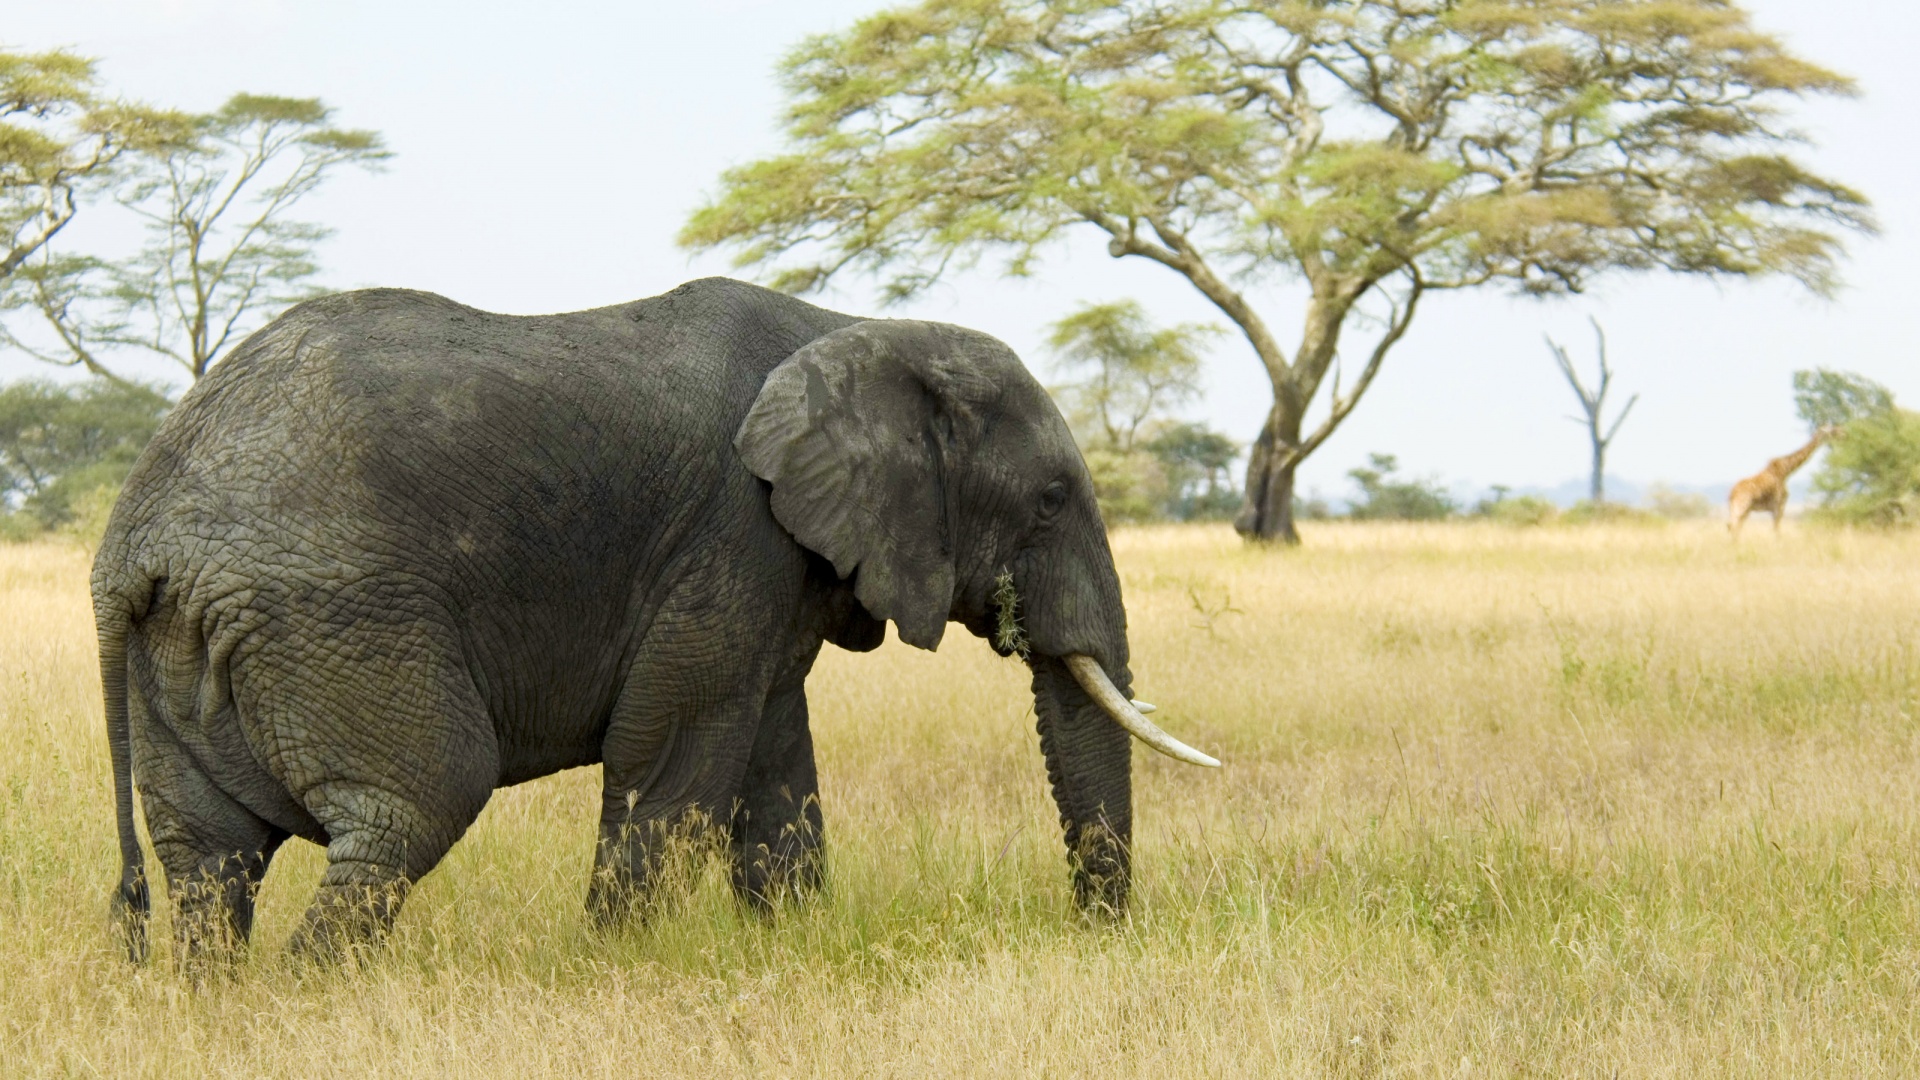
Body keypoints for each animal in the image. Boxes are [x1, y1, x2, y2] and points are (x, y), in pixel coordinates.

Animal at [93, 277, 1217, 966]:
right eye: (1050, 501)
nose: (1096, 935)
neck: (854, 328)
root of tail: (134, 539)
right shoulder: (732, 532)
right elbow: (672, 751)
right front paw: (615, 963)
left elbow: (772, 759)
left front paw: (789, 948)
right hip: (335, 615)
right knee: (414, 805)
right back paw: (310, 998)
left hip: (190, 645)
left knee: (210, 859)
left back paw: (223, 1004)